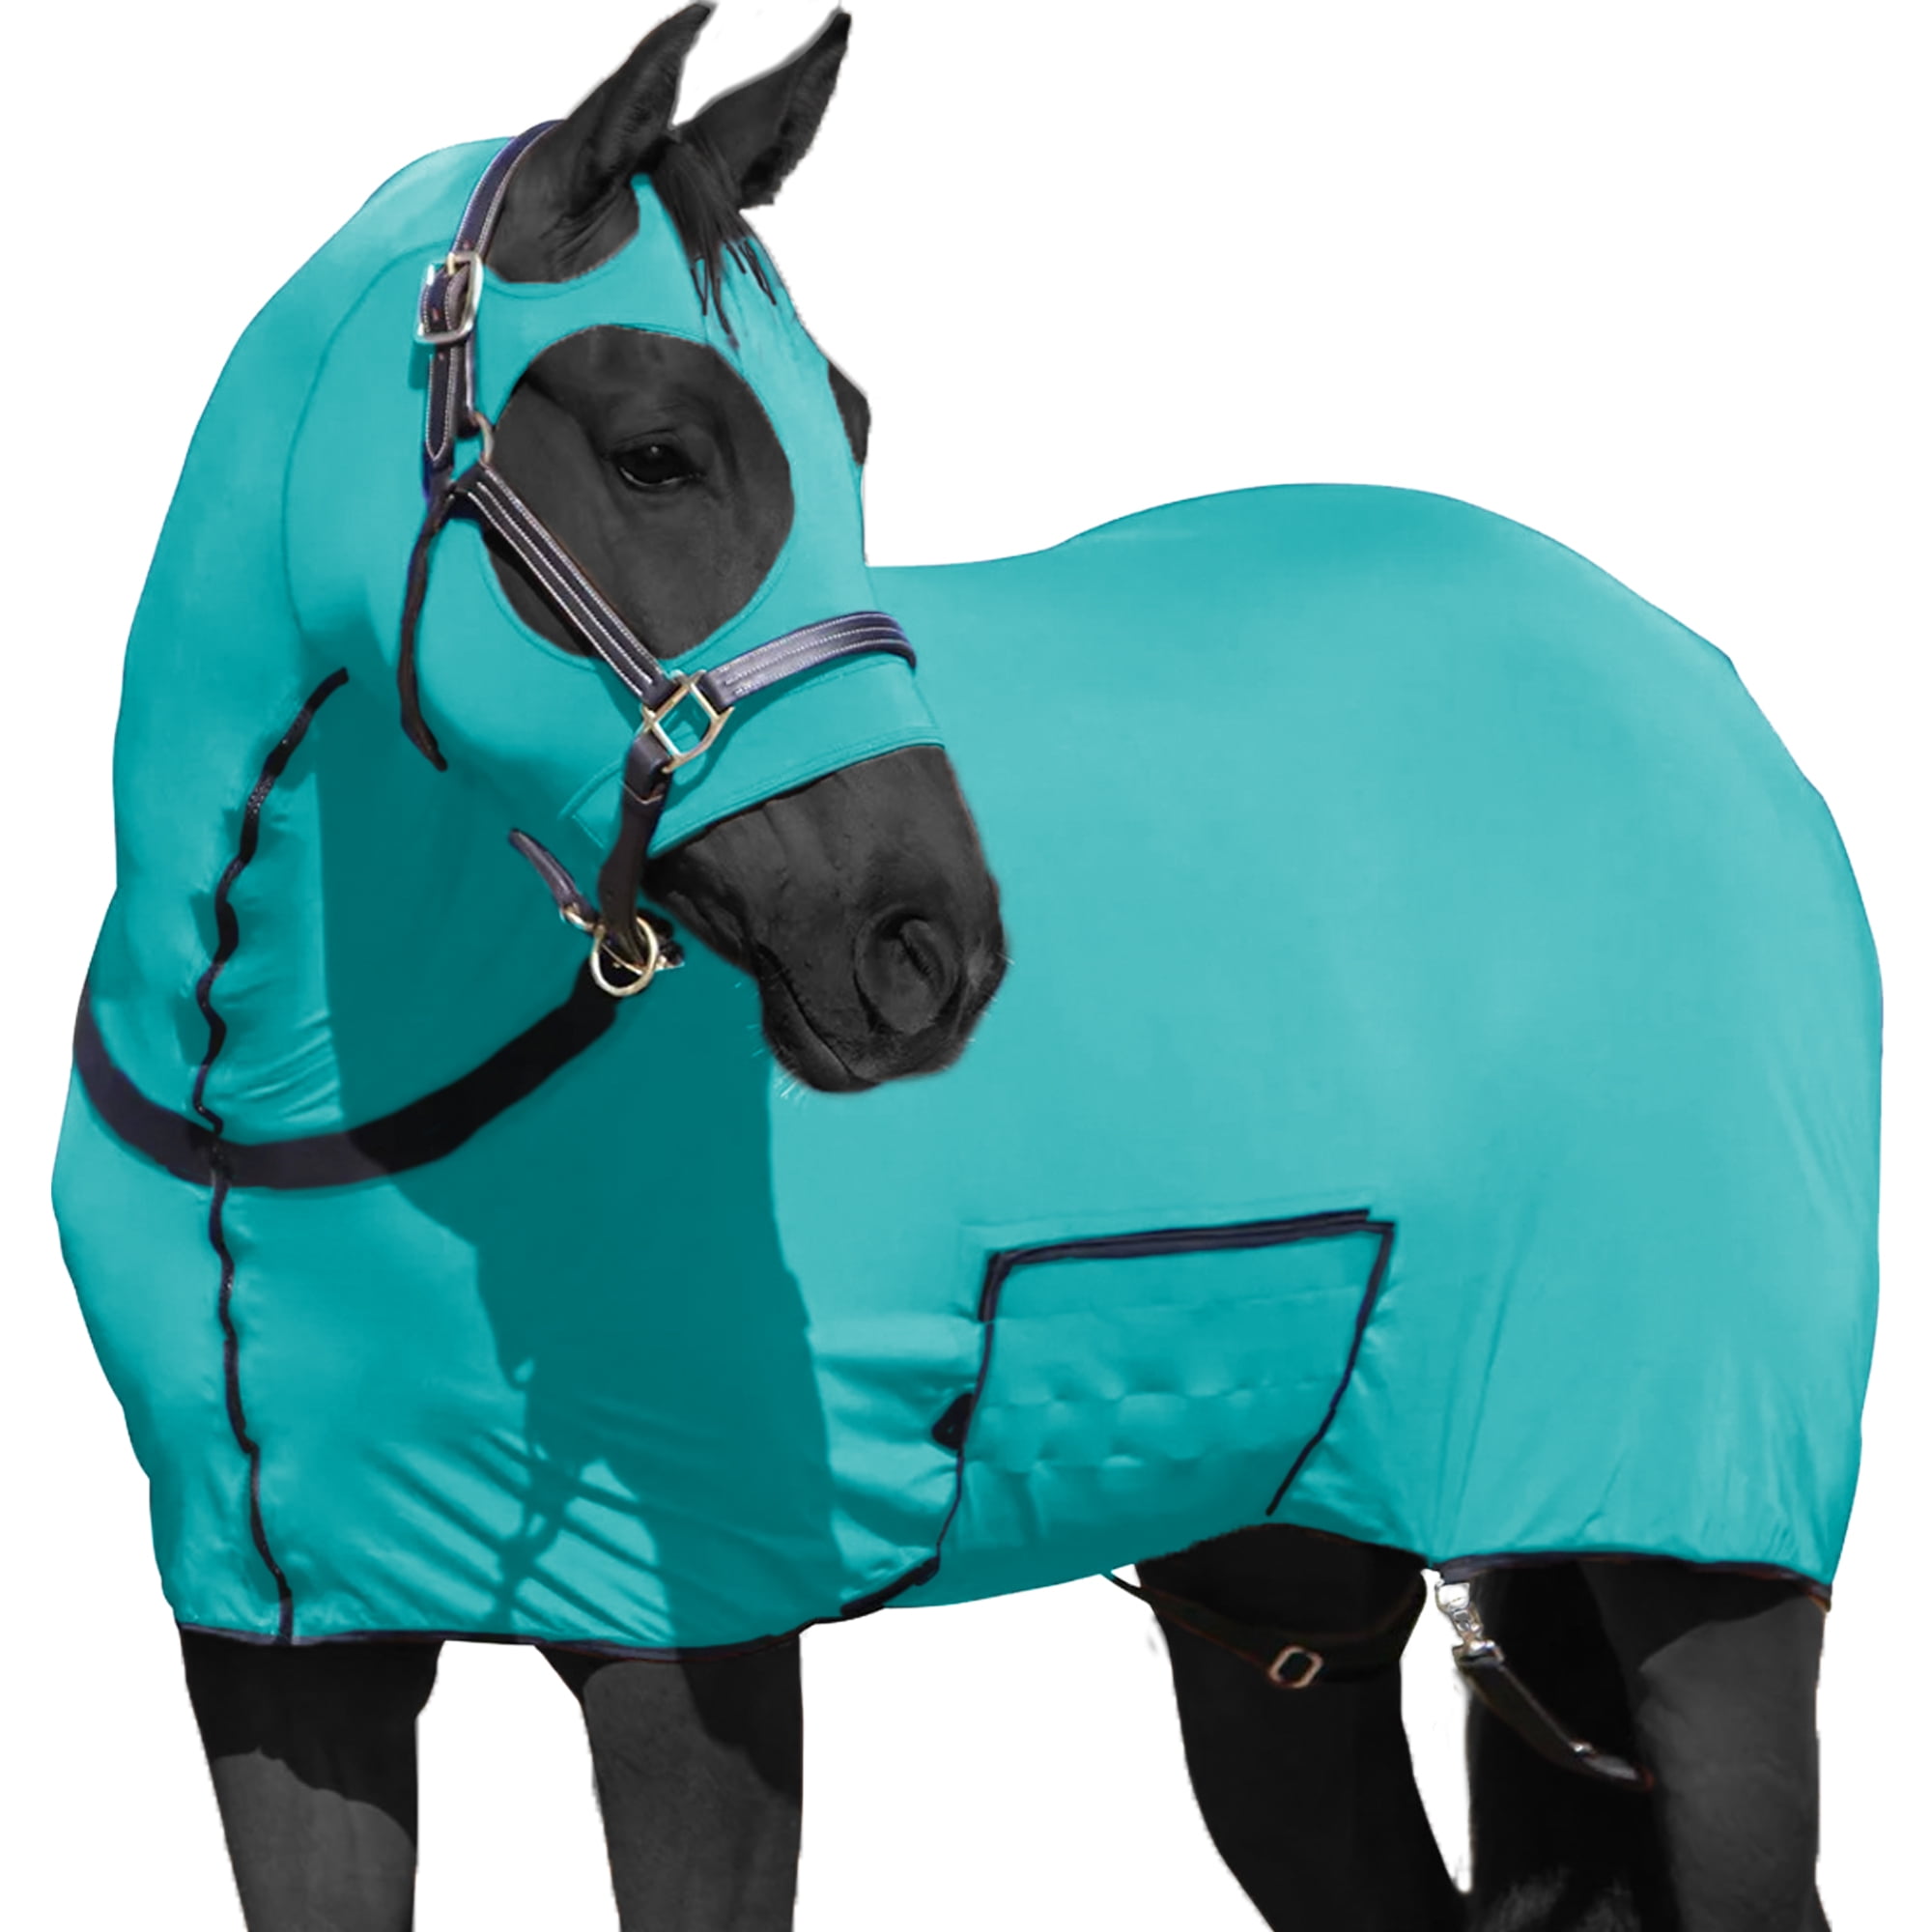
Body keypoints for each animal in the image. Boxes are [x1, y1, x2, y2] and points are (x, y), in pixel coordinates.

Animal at [51, 8, 1876, 1931]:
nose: (927, 948)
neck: (289, 1108)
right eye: (655, 452)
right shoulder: (285, 1656)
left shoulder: (692, 1636)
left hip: (1692, 1544)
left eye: (850, 429)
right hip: (1282, 1592)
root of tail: (1706, 690)